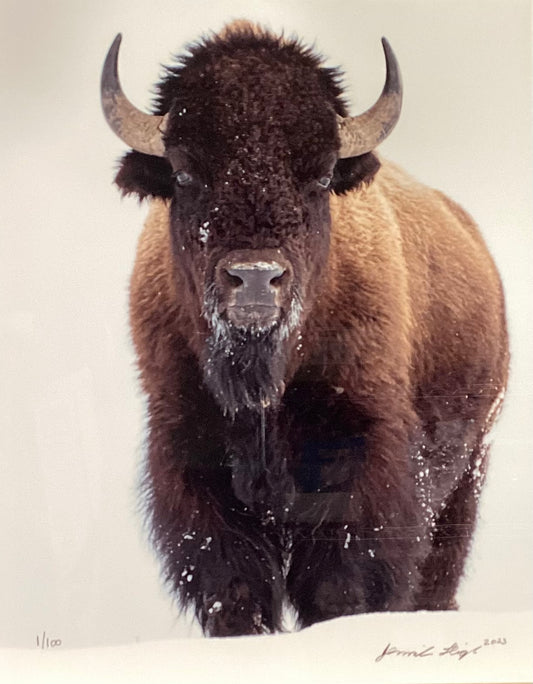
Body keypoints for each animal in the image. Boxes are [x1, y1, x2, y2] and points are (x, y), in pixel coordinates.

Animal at [101, 21, 509, 636]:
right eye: (185, 173)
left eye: (318, 177)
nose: (255, 277)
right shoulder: (189, 459)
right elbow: (234, 589)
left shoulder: (361, 463)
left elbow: (339, 585)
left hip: (466, 477)